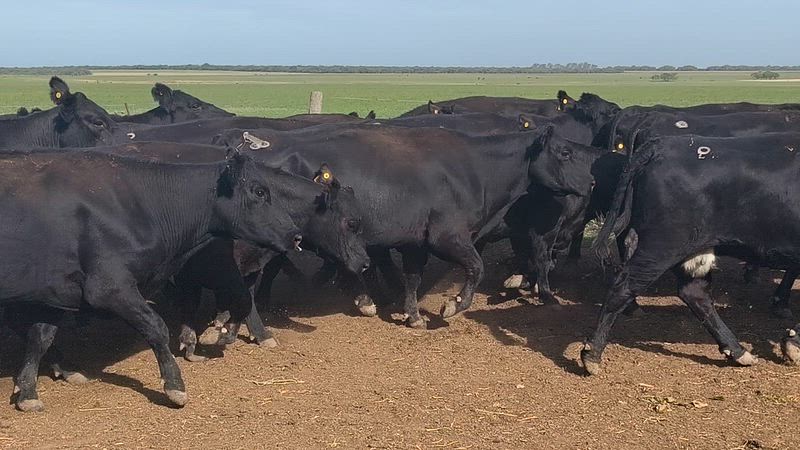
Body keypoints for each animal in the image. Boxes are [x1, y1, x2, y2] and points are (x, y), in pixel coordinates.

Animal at [0, 148, 311, 411]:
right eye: (259, 191)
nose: (296, 235)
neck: (139, 206)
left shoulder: (58, 292)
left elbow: (40, 337)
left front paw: (27, 390)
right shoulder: (110, 288)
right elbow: (157, 328)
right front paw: (175, 385)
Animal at [582, 132, 800, 375]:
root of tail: (661, 145)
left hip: (691, 249)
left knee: (694, 293)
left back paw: (737, 351)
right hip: (661, 247)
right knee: (622, 287)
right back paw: (592, 354)